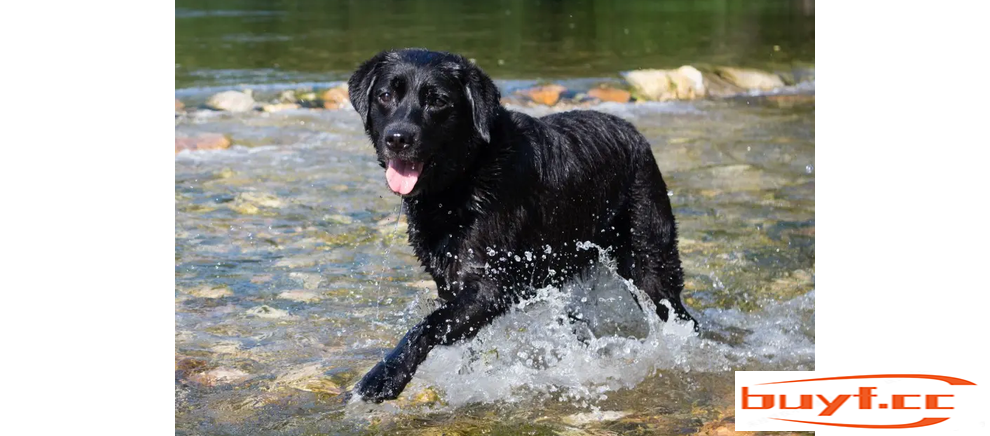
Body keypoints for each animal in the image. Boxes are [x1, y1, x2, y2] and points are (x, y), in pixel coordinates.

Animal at [348, 48, 696, 402]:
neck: (465, 177)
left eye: (438, 101)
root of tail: (635, 134)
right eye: (385, 95)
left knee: (678, 313)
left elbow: (428, 325)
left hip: (649, 261)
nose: (398, 138)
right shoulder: (451, 282)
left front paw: (384, 377)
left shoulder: (490, 286)